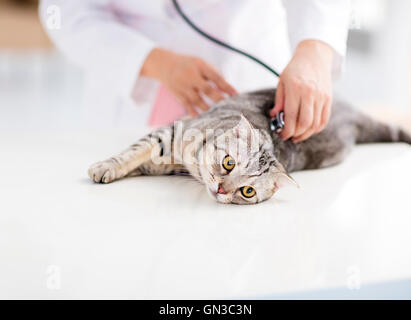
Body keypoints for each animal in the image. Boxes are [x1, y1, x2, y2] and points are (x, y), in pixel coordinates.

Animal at [88, 89, 410, 204]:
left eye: (247, 191)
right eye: (228, 162)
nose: (221, 190)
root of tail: (349, 114)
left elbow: (141, 161)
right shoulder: (170, 133)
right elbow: (133, 152)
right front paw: (106, 167)